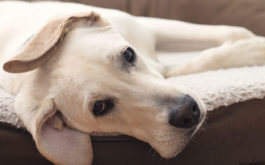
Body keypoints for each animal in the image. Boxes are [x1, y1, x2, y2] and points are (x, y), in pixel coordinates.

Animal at [0, 0, 264, 164]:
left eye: (128, 54)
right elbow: (199, 61)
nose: (188, 113)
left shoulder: (149, 27)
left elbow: (233, 33)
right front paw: (253, 52)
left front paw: (254, 44)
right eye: (100, 107)